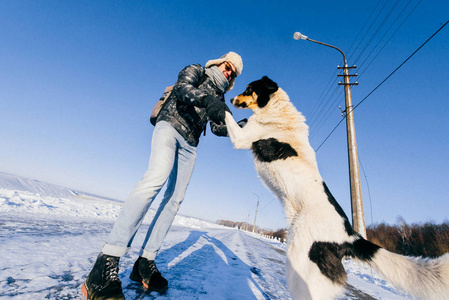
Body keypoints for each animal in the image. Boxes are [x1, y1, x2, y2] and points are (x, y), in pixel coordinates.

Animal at [224, 76, 448, 298]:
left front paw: (219, 101)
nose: (232, 98)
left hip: (300, 262)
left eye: (249, 89)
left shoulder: (242, 138)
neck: (276, 109)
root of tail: (349, 236)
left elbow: (227, 116)